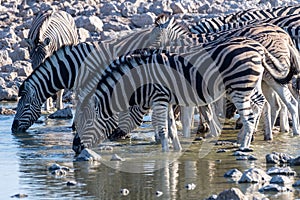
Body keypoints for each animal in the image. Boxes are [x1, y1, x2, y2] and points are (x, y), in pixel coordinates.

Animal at [71, 36, 294, 154]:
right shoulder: (167, 100)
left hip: (240, 87)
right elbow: (171, 129)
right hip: (250, 85)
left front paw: (163, 156)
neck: (138, 82)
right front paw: (176, 150)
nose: (74, 147)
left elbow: (163, 130)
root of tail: (257, 49)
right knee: (261, 103)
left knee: (250, 115)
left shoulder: (159, 98)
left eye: (86, 123)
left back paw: (244, 146)